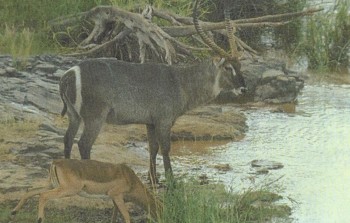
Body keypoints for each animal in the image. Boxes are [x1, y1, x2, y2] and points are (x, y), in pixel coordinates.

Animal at [10, 159, 161, 222]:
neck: (131, 179)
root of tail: (55, 162)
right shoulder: (116, 195)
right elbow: (127, 216)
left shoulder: (114, 199)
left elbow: (114, 216)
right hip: (67, 190)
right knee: (43, 195)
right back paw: (40, 219)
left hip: (52, 185)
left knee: (30, 191)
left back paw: (13, 212)